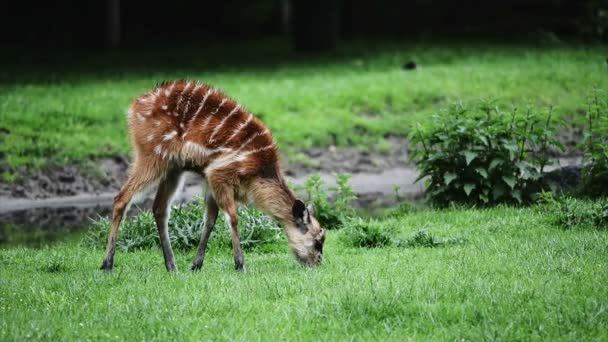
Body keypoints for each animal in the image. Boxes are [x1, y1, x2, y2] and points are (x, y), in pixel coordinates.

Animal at [101, 80, 326, 272]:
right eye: (318, 242)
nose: (317, 264)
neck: (258, 173)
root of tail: (133, 107)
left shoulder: (210, 178)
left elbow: (210, 219)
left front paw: (196, 265)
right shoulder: (219, 173)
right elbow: (232, 217)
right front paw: (240, 265)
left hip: (174, 167)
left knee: (159, 207)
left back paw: (172, 266)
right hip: (151, 155)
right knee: (122, 196)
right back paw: (107, 264)